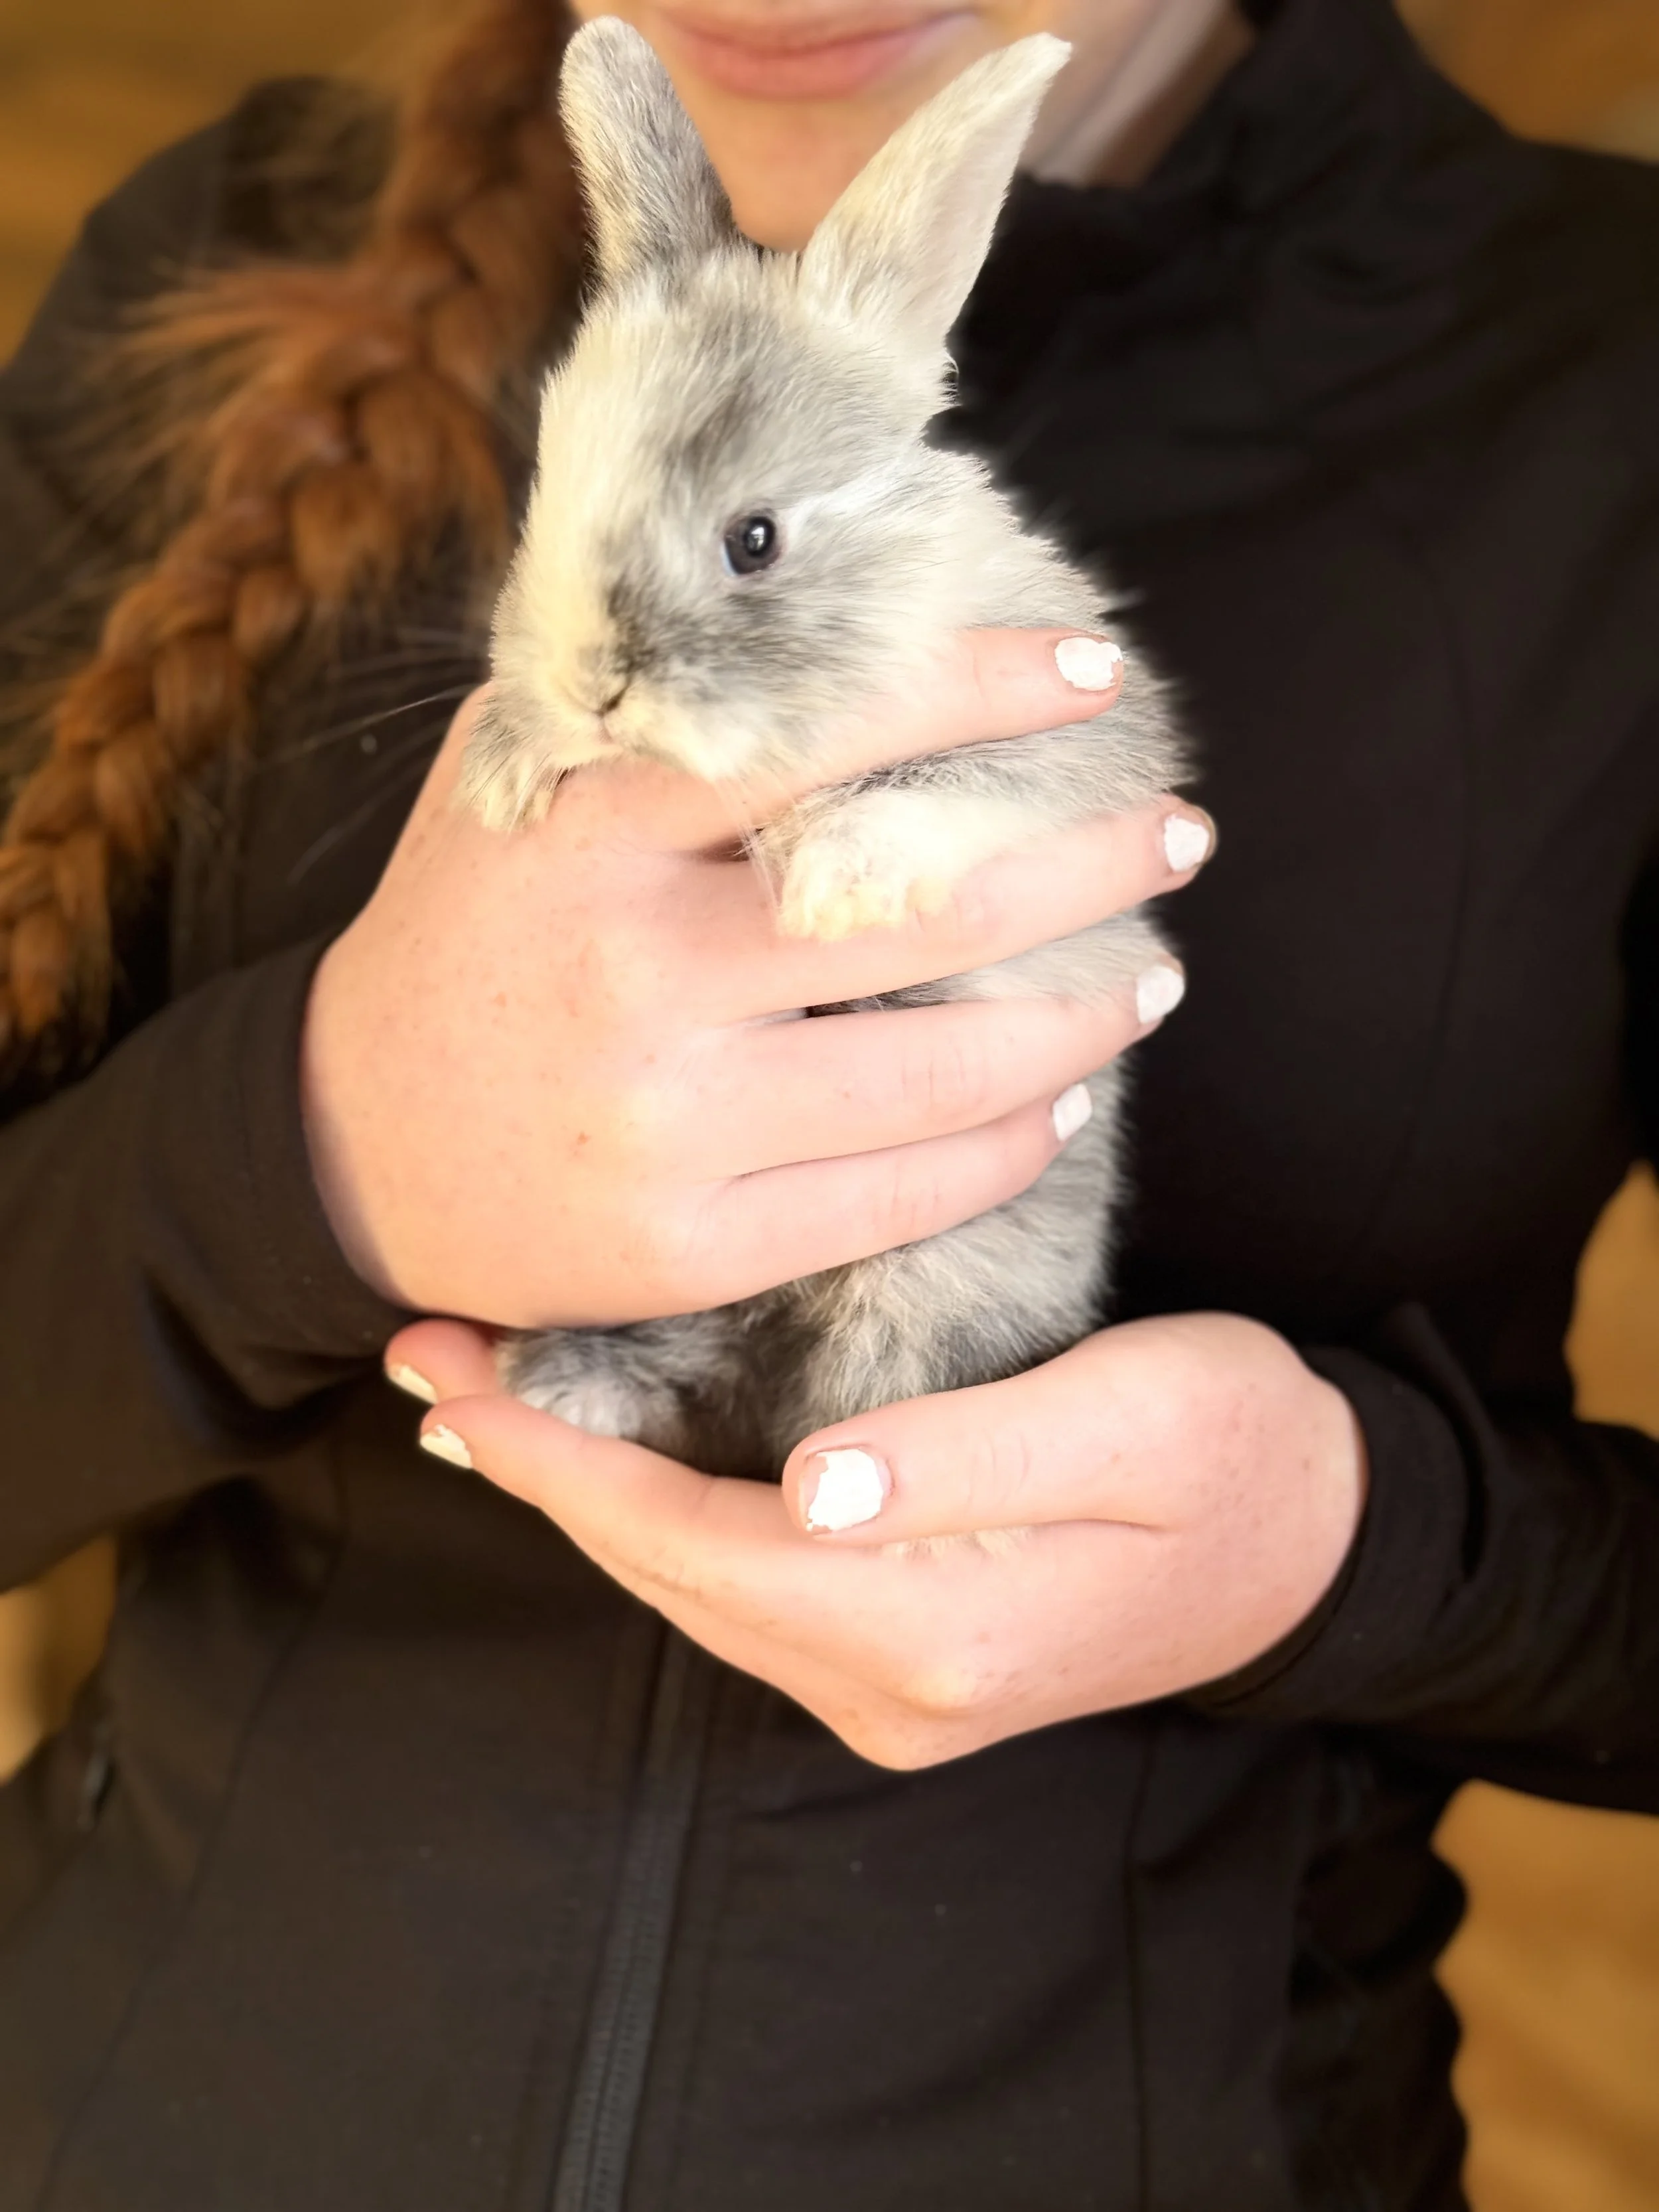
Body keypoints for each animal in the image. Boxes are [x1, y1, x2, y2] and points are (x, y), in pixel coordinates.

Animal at [459, 18, 1189, 1485]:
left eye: (755, 539)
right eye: (549, 498)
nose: (593, 687)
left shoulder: (1084, 729)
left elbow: (974, 784)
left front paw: (837, 882)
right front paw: (507, 767)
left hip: (920, 1291)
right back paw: (562, 1390)